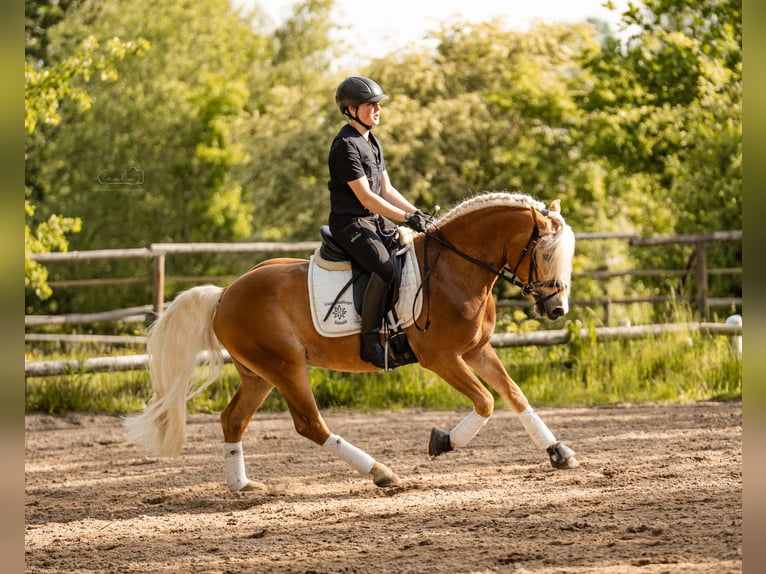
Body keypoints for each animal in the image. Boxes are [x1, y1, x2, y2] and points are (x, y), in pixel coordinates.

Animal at [124, 192, 579, 492]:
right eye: (543, 254)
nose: (556, 309)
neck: (455, 268)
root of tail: (225, 294)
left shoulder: (477, 350)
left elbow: (514, 394)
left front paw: (559, 452)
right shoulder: (442, 357)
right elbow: (485, 402)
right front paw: (442, 441)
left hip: (259, 373)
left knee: (232, 419)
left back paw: (242, 486)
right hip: (286, 366)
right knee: (310, 424)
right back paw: (382, 472)